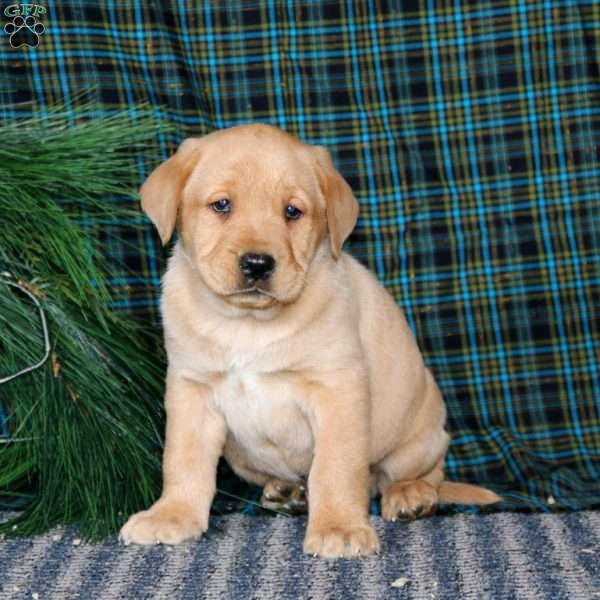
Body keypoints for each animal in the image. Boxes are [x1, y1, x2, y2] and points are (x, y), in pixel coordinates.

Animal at [119, 125, 500, 556]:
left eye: (292, 212)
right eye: (221, 205)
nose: (257, 264)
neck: (249, 324)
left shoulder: (338, 390)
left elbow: (336, 467)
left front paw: (339, 527)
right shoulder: (191, 390)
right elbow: (183, 461)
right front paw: (172, 514)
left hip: (418, 437)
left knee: (419, 474)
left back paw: (411, 495)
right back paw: (286, 491)